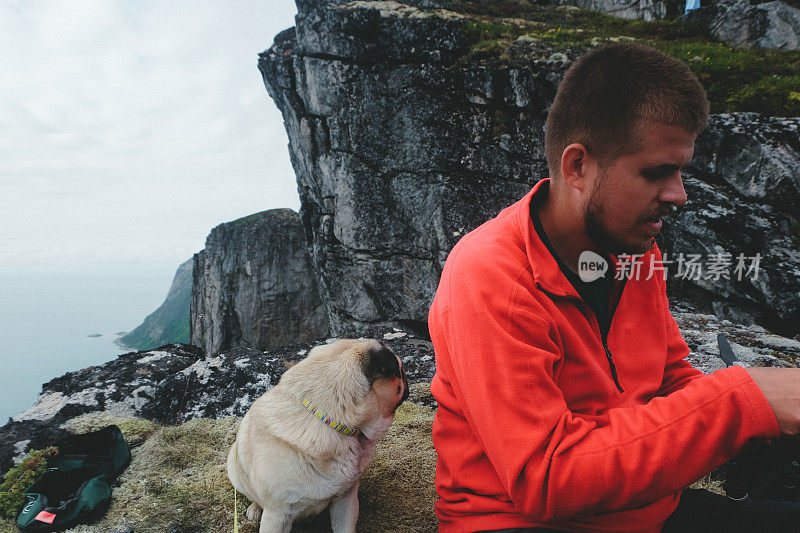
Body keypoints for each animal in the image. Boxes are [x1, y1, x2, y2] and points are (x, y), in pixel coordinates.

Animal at [227, 338, 410, 528]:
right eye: (402, 371)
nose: (407, 377)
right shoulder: (276, 516)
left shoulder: (346, 500)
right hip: (234, 468)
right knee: (253, 495)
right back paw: (254, 509)